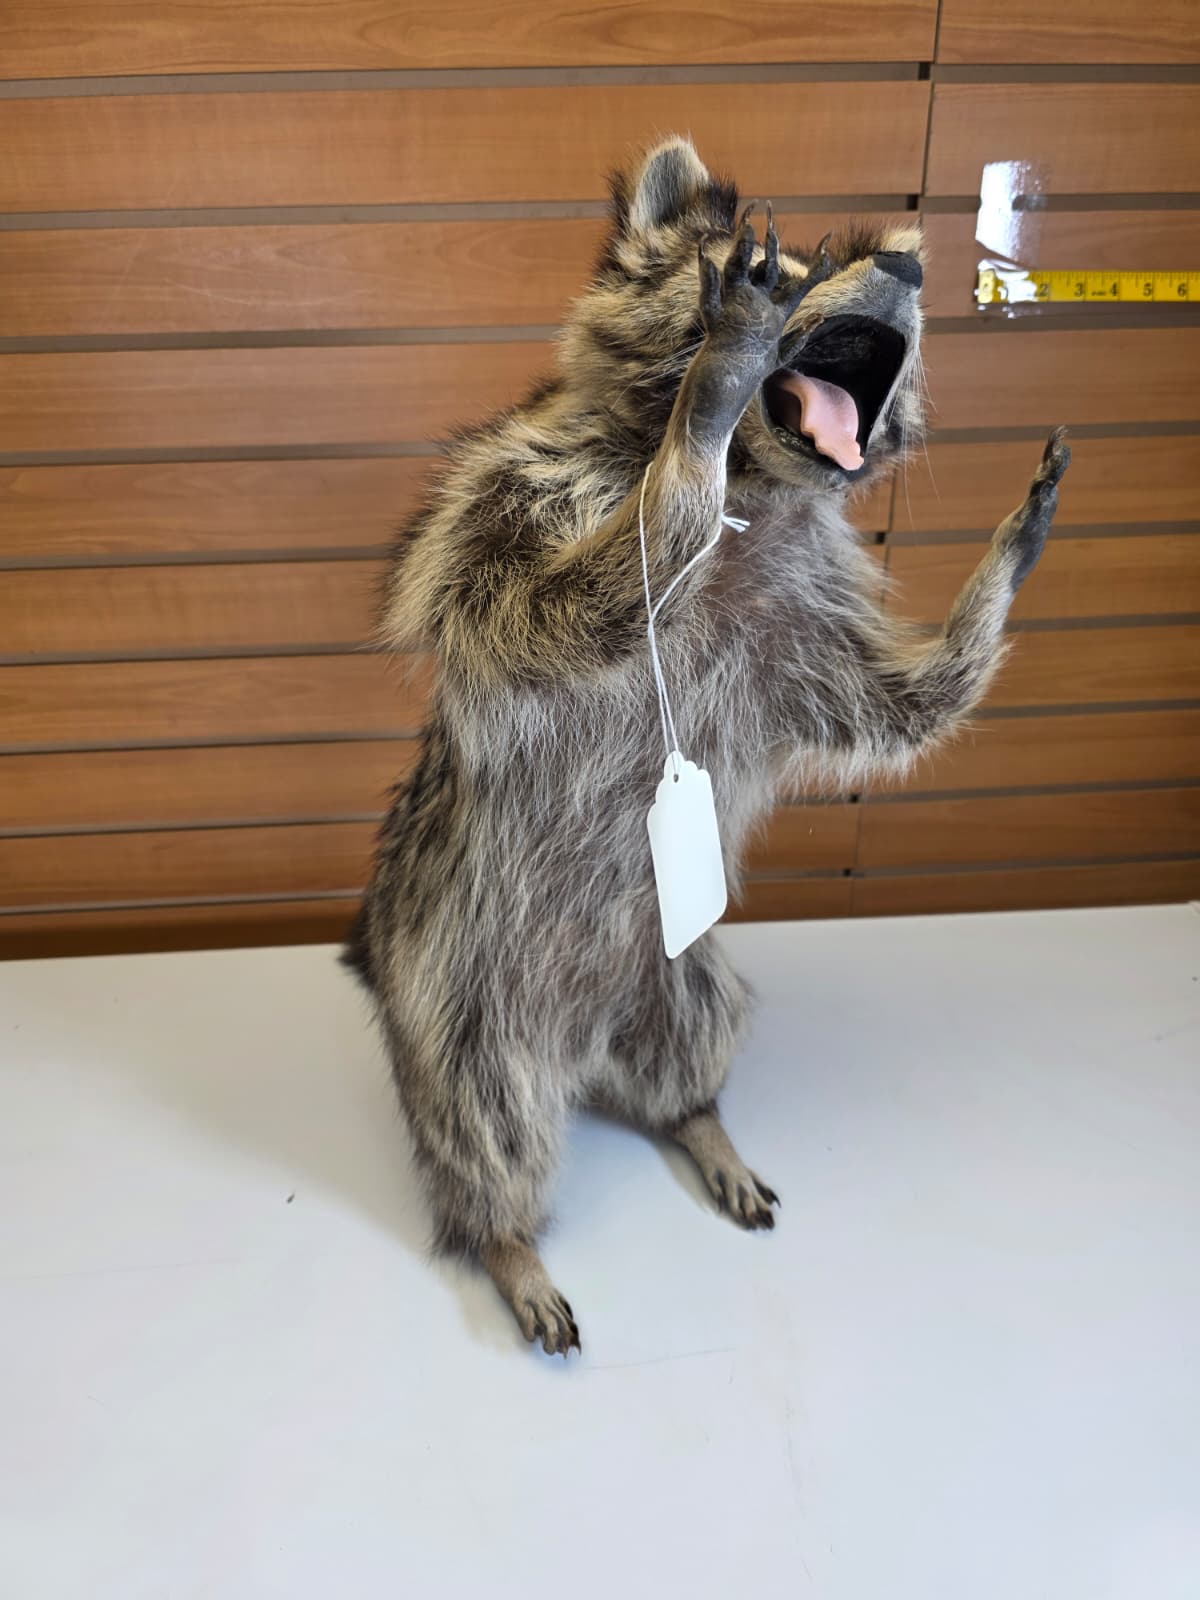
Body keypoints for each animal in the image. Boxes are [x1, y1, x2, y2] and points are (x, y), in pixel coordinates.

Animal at [345, 137, 1069, 1356]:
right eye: (783, 264)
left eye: (866, 256)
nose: (911, 270)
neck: (762, 488)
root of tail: (585, 1045)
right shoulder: (501, 512)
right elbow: (567, 604)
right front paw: (699, 424)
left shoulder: (801, 633)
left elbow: (908, 707)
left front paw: (1004, 565)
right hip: (455, 996)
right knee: (480, 1123)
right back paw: (505, 1237)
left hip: (679, 970)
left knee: (696, 1037)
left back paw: (697, 1118)